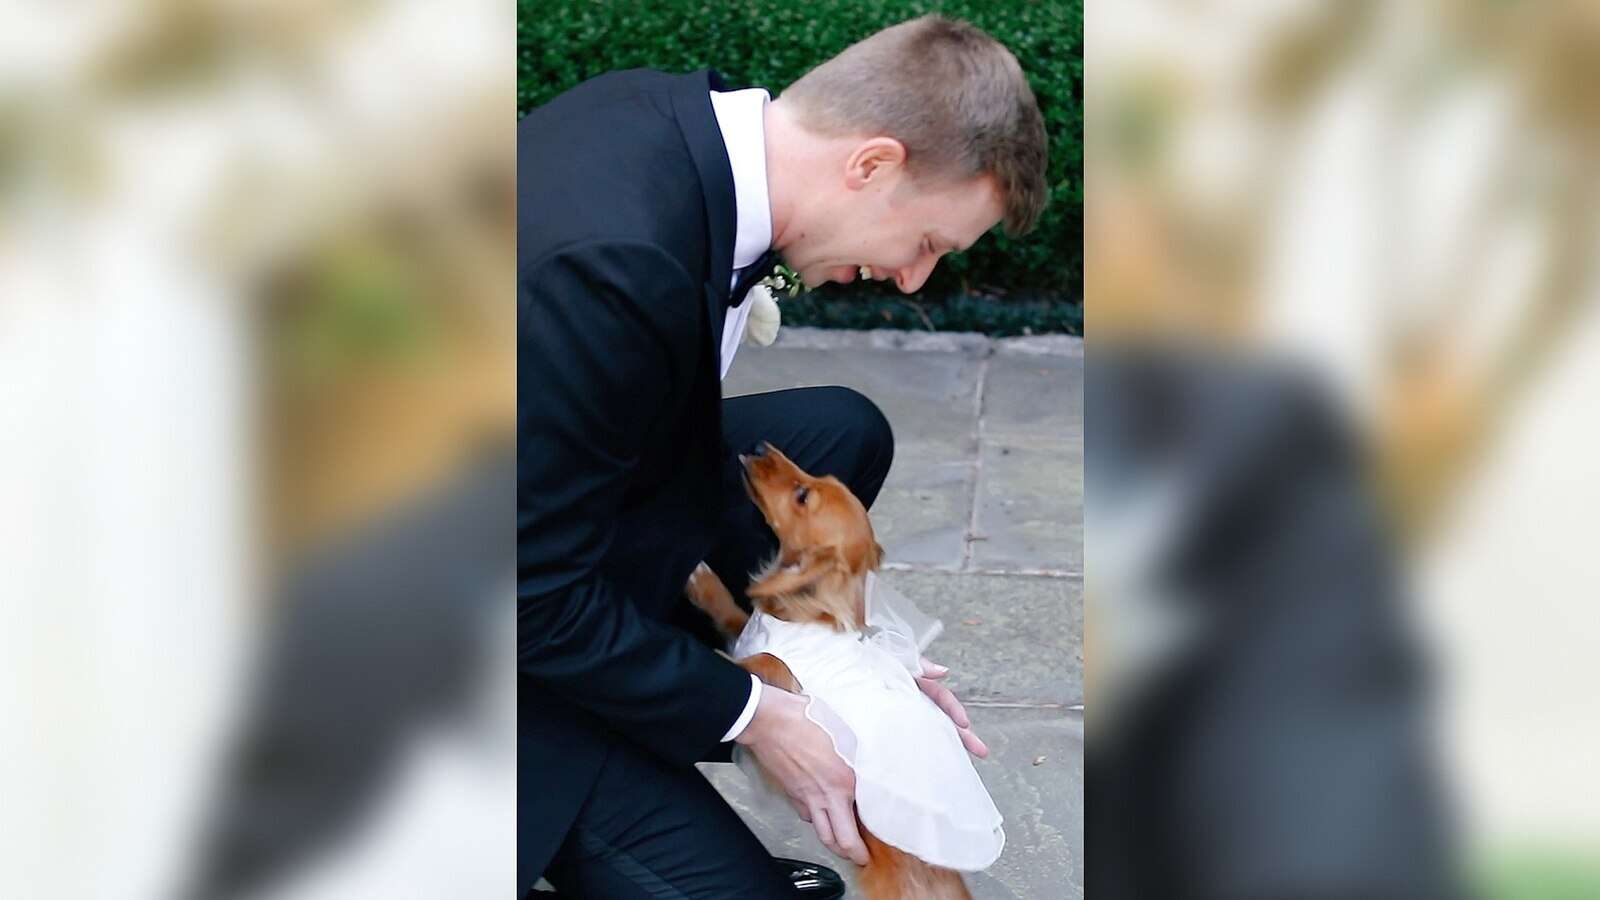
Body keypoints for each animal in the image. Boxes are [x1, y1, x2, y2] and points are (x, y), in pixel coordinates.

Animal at [681, 441, 966, 896]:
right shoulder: (750, 628)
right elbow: (733, 616)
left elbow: (749, 663)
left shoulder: (775, 673)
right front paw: (703, 583)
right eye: (819, 479)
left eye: (802, 495)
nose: (760, 446)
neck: (803, 614)